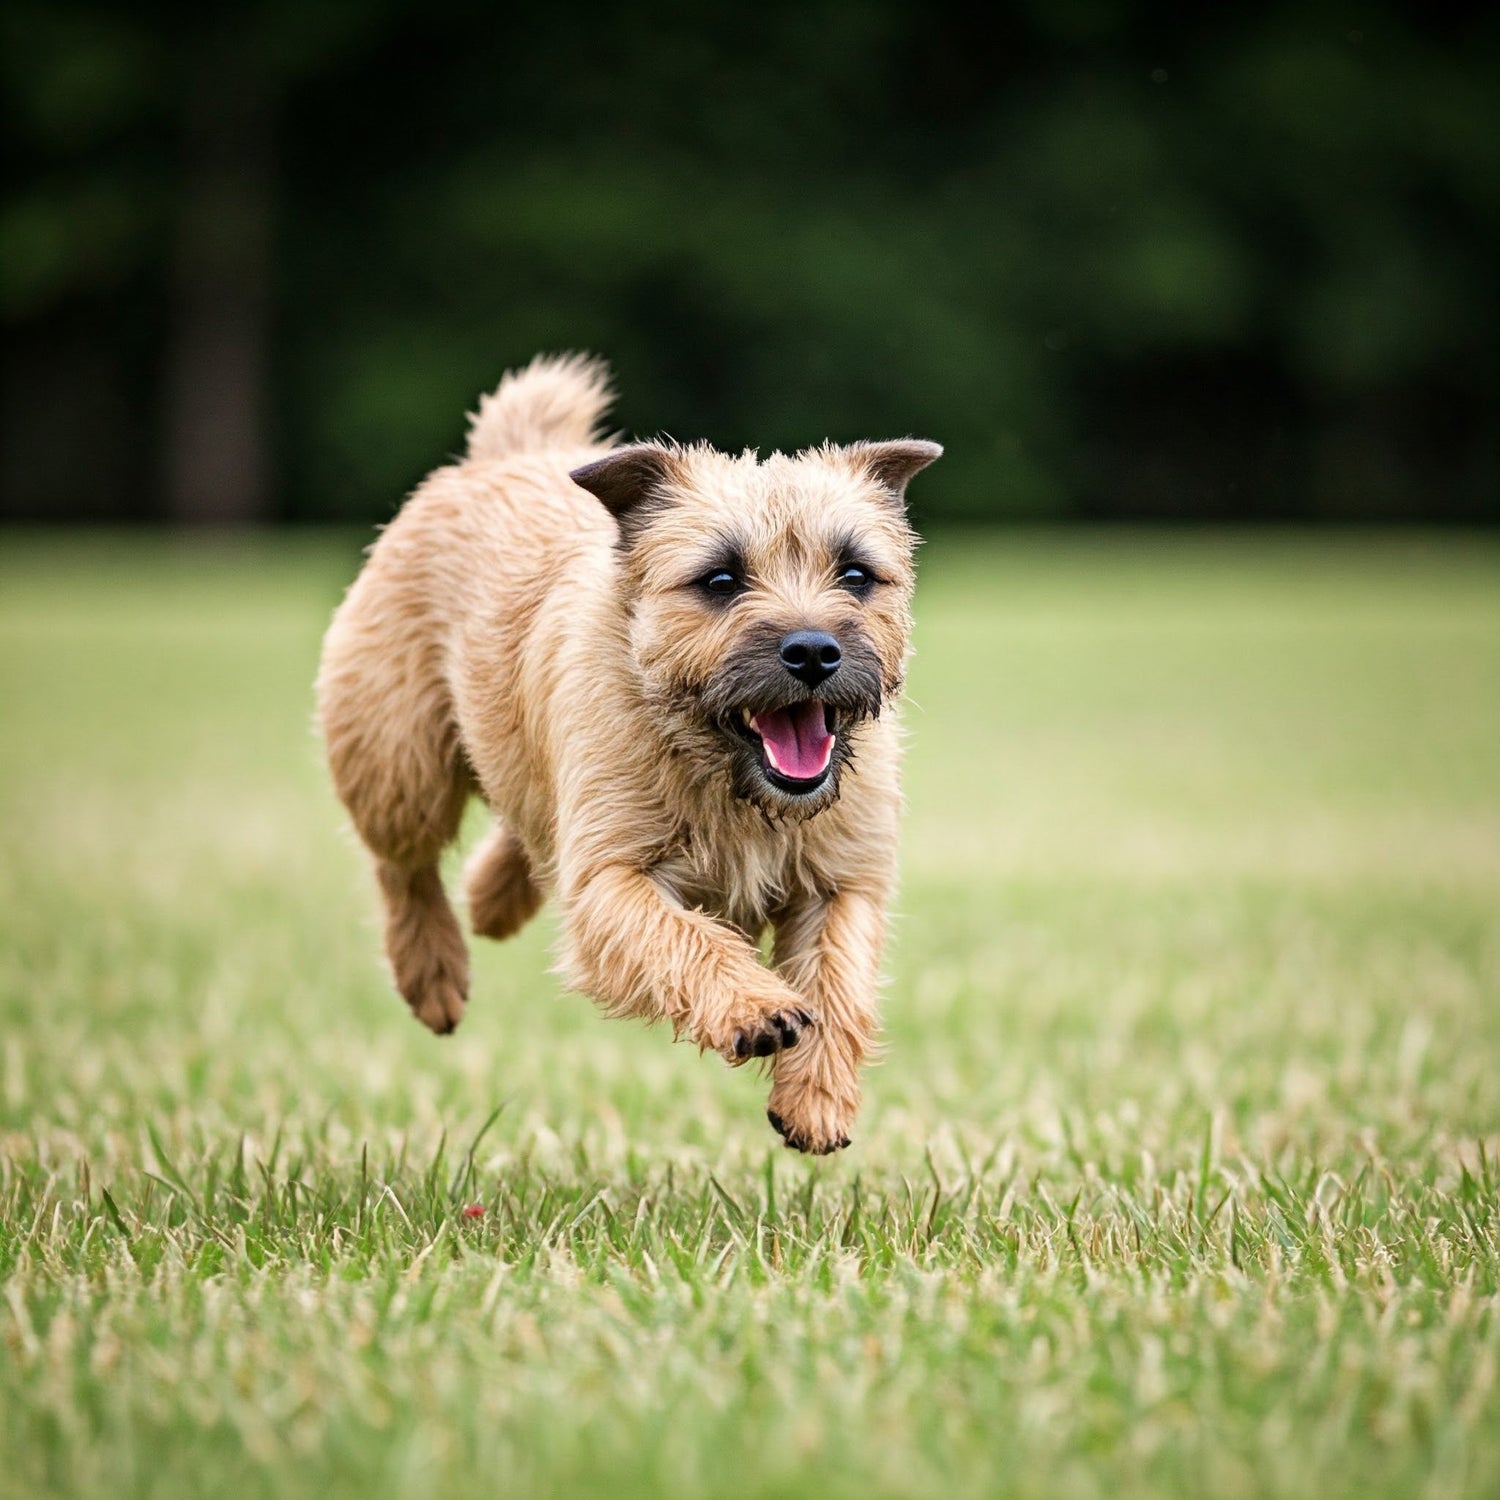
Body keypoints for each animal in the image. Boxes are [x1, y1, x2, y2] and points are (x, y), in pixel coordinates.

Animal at [318, 351, 942, 1146]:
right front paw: (756, 1006)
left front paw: (817, 1097)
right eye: (720, 579)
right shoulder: (611, 881)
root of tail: (504, 453)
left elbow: (838, 979)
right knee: (404, 866)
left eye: (856, 574)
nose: (812, 651)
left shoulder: (842, 882)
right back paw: (432, 973)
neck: (732, 787)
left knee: (520, 825)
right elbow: (686, 937)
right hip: (399, 761)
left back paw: (492, 901)